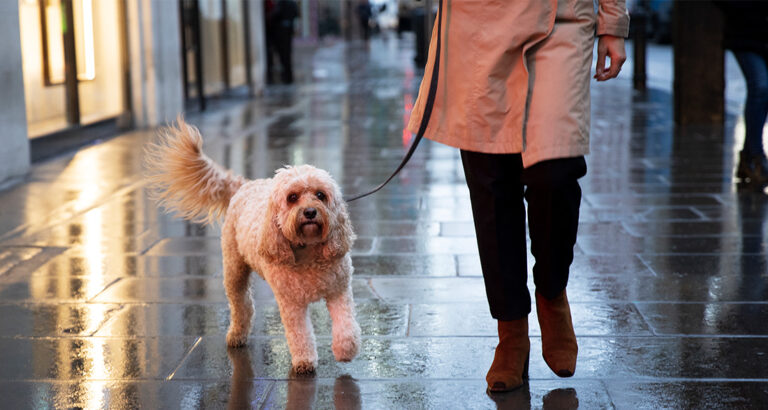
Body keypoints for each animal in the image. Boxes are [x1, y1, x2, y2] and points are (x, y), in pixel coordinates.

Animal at [146, 119, 362, 374]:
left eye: (321, 195)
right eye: (292, 197)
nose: (310, 212)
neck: (309, 251)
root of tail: (245, 185)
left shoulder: (339, 290)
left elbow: (346, 325)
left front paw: (345, 350)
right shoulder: (291, 303)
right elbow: (300, 334)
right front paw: (304, 361)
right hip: (234, 270)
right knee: (243, 305)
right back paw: (236, 335)